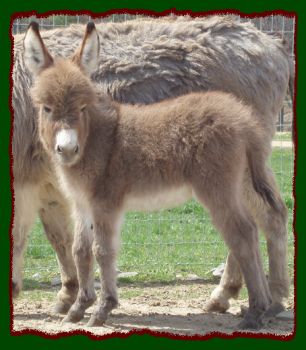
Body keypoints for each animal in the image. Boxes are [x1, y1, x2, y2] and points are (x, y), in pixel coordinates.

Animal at [24, 23, 284, 330]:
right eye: (47, 108)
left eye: (83, 107)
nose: (66, 149)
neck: (96, 139)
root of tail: (244, 120)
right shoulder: (82, 204)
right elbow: (80, 251)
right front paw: (78, 308)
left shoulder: (105, 203)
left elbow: (103, 250)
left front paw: (103, 309)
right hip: (241, 182)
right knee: (257, 227)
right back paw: (264, 307)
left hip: (217, 188)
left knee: (243, 233)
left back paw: (255, 312)